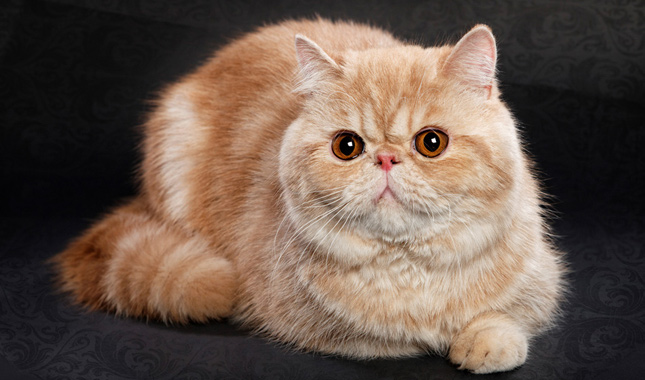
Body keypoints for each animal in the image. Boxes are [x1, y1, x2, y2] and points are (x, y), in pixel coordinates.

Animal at [51, 18, 564, 374]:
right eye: (347, 146)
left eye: (431, 142)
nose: (385, 159)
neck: (405, 267)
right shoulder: (315, 324)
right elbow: (384, 338)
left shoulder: (540, 276)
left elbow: (511, 314)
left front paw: (486, 339)